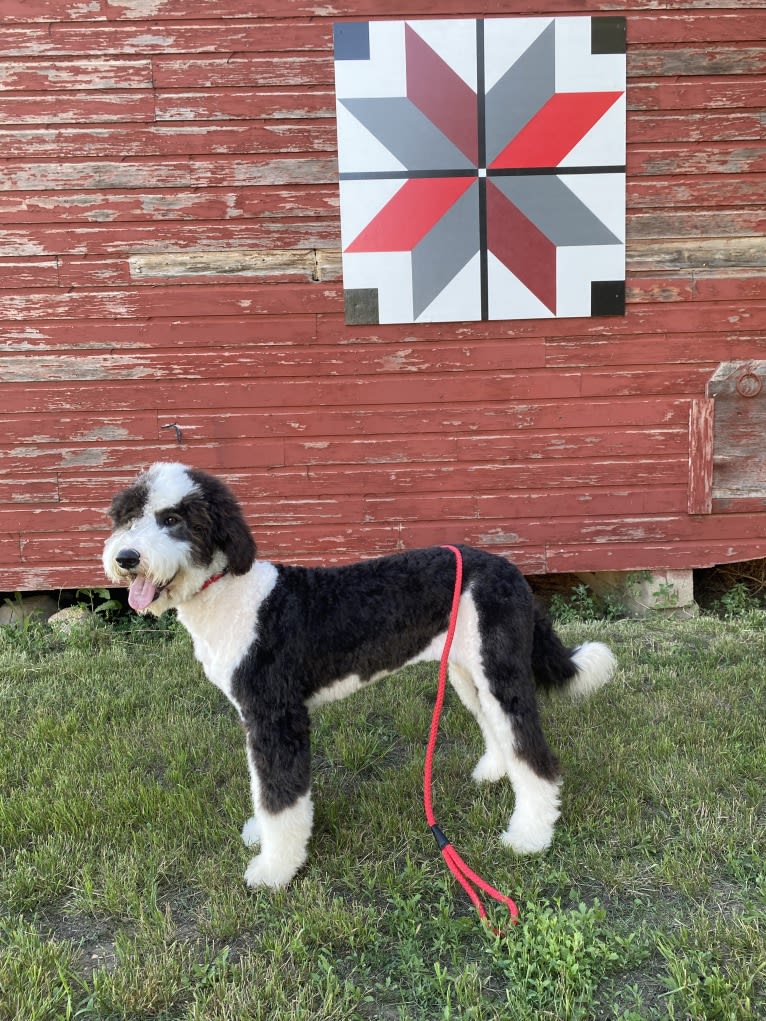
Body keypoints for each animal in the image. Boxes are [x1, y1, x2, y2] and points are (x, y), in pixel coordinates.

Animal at [103, 461, 616, 886]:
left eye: (174, 519)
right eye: (127, 517)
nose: (126, 557)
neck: (235, 596)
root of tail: (510, 570)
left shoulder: (277, 716)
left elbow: (280, 798)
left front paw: (274, 869)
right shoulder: (255, 720)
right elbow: (262, 788)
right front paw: (263, 839)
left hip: (500, 670)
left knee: (534, 755)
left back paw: (530, 836)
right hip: (467, 670)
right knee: (500, 730)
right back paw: (495, 773)